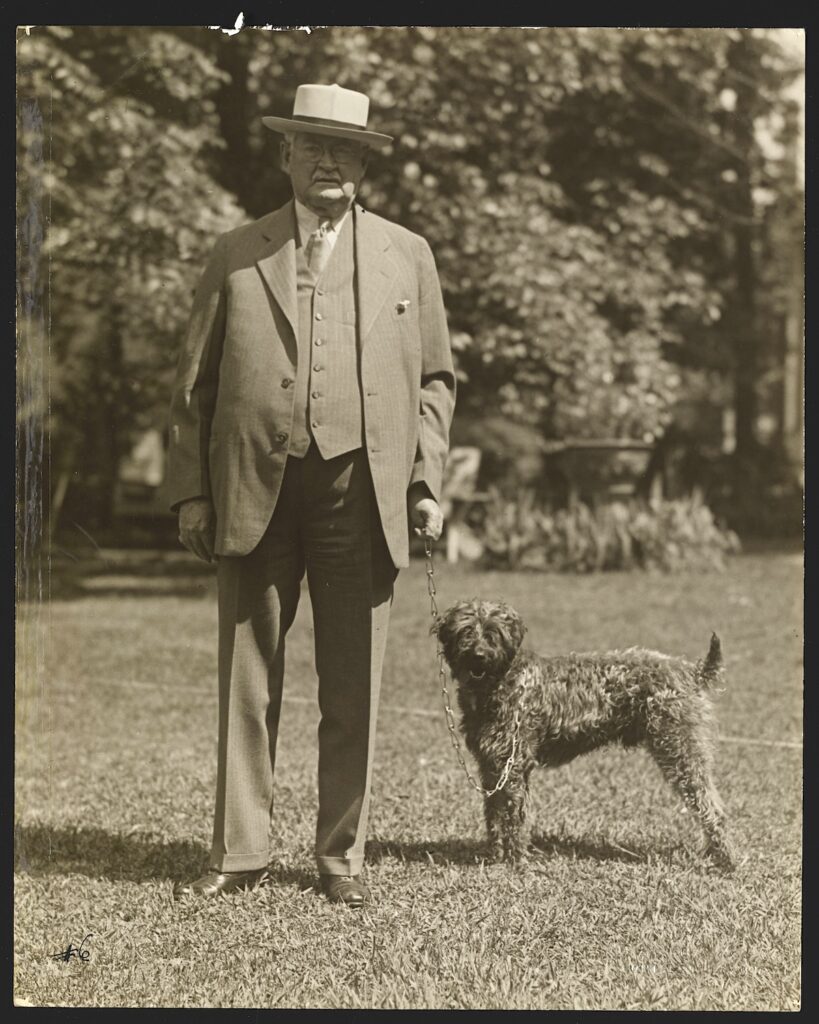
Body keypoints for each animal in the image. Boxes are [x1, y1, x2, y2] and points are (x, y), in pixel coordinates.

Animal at [434, 598, 737, 872]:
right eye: (466, 631)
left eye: (493, 632)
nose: (478, 656)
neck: (500, 681)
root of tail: (690, 671)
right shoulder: (491, 766)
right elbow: (494, 814)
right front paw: (496, 855)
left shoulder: (514, 765)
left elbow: (513, 817)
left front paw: (516, 861)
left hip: (680, 750)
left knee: (712, 808)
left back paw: (726, 860)